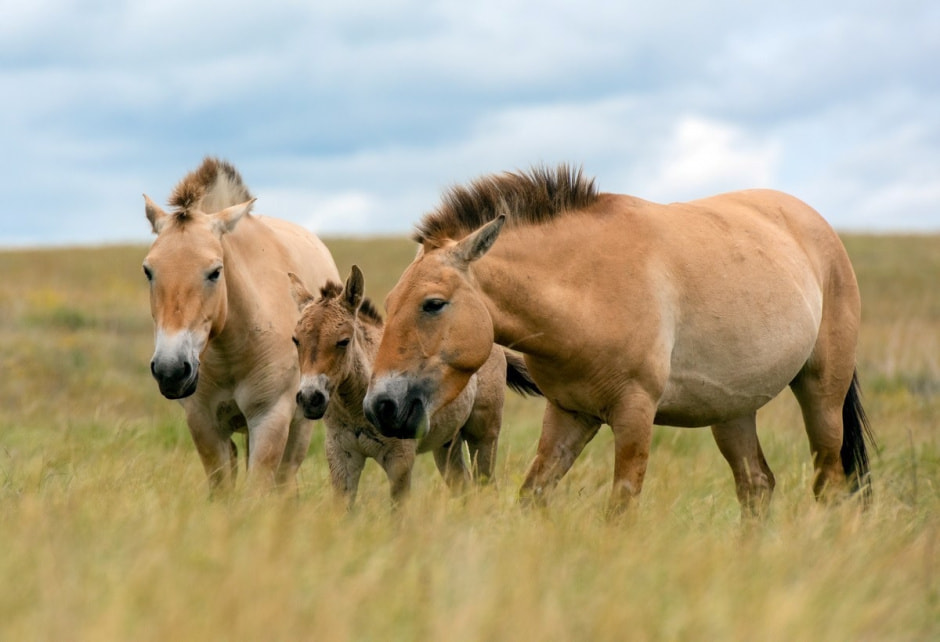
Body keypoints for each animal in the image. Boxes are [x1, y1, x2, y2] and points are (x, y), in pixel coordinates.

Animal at [142, 157, 339, 493]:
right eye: (148, 271)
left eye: (215, 272)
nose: (171, 370)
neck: (231, 351)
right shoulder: (203, 423)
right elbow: (223, 488)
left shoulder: (269, 419)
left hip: (300, 428)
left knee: (285, 481)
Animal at [289, 265, 541, 507]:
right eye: (296, 340)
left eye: (343, 341)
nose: (310, 398)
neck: (355, 409)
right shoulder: (341, 456)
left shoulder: (400, 460)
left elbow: (399, 511)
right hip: (447, 443)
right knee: (463, 487)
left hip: (483, 434)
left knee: (487, 487)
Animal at [363, 165, 874, 517]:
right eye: (389, 302)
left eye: (433, 304)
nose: (380, 406)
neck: (586, 289)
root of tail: (820, 229)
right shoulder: (569, 414)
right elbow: (533, 495)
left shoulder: (634, 414)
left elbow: (620, 509)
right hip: (732, 411)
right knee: (757, 487)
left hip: (821, 396)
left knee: (829, 484)